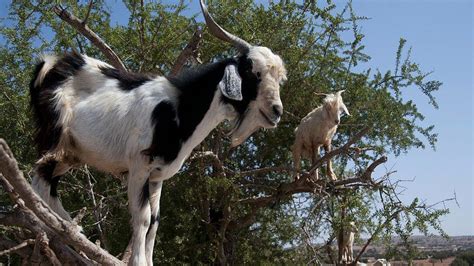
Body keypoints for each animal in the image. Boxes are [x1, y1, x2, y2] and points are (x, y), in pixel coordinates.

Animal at [29, 1, 286, 264]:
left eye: (280, 79)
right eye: (253, 72)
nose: (276, 111)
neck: (179, 108)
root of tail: (49, 65)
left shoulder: (157, 175)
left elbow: (154, 222)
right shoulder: (139, 165)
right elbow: (142, 218)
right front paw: (138, 261)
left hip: (72, 153)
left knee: (47, 184)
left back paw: (71, 233)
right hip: (54, 137)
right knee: (39, 180)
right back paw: (62, 230)